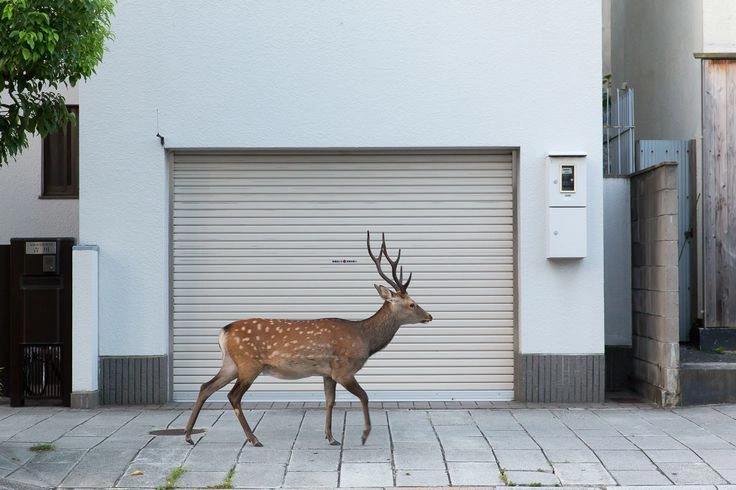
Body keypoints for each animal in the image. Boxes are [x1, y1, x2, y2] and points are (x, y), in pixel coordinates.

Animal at [184, 231, 432, 447]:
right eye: (412, 303)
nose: (429, 316)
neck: (365, 339)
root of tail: (223, 331)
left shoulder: (328, 373)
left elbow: (330, 401)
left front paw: (331, 437)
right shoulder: (344, 370)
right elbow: (364, 396)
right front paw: (364, 435)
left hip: (231, 364)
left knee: (205, 386)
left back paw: (188, 435)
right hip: (248, 364)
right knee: (233, 396)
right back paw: (253, 439)